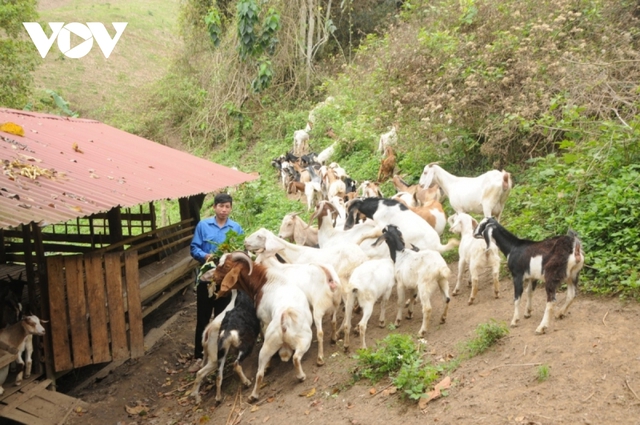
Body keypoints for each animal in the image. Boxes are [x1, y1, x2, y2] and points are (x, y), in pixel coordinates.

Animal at [212, 252, 312, 400]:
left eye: (226, 266)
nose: (213, 276)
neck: (265, 281)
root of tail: (283, 317)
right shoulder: (264, 319)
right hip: (302, 339)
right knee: (294, 358)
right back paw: (299, 376)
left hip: (273, 344)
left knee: (259, 373)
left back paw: (253, 395)